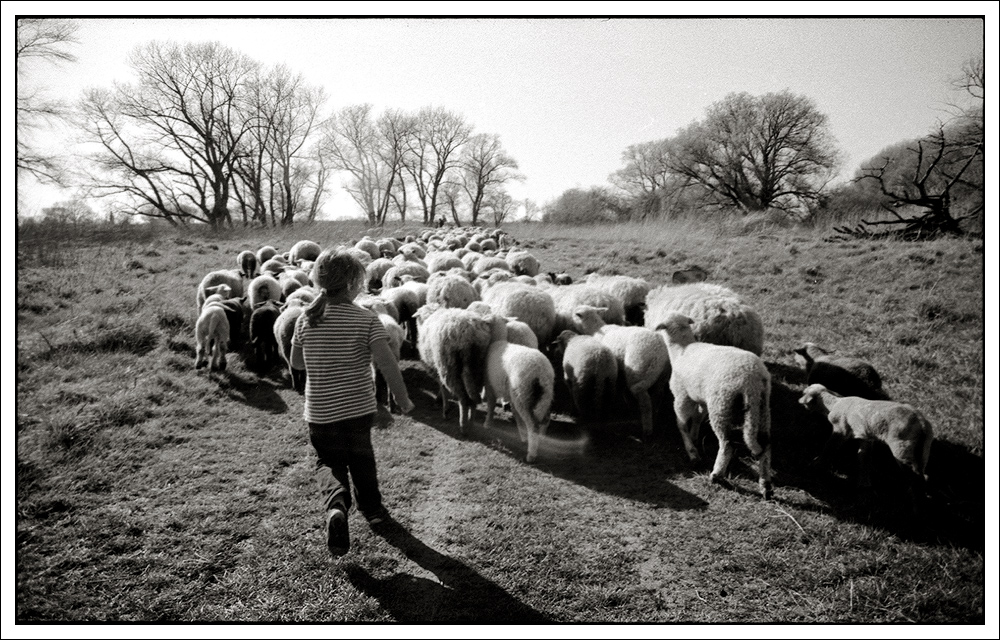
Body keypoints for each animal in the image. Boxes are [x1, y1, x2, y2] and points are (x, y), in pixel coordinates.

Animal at [482, 314, 556, 460]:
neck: (498, 340)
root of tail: (541, 372)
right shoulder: (510, 394)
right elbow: (516, 415)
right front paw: (522, 435)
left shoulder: (490, 386)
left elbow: (491, 406)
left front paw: (487, 424)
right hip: (545, 395)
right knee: (546, 419)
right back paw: (542, 441)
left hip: (523, 394)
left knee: (533, 425)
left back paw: (531, 454)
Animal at [576, 304, 668, 440]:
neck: (596, 329)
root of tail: (658, 354)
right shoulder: (619, 368)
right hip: (662, 375)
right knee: (657, 395)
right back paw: (654, 418)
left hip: (637, 369)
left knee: (645, 401)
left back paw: (647, 429)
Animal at [656, 312, 772, 500]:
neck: (681, 349)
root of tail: (753, 377)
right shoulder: (702, 399)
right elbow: (697, 418)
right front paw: (694, 437)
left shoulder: (682, 396)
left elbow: (681, 424)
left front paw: (692, 452)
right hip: (763, 407)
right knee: (766, 445)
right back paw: (766, 485)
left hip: (721, 404)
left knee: (727, 444)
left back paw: (716, 475)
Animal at [796, 382, 928, 508]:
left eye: (804, 392)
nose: (800, 402)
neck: (834, 403)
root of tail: (922, 422)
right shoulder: (865, 437)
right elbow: (864, 457)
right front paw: (864, 484)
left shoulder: (841, 430)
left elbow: (829, 447)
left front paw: (816, 464)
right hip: (921, 449)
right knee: (923, 475)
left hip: (901, 444)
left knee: (916, 475)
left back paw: (917, 506)